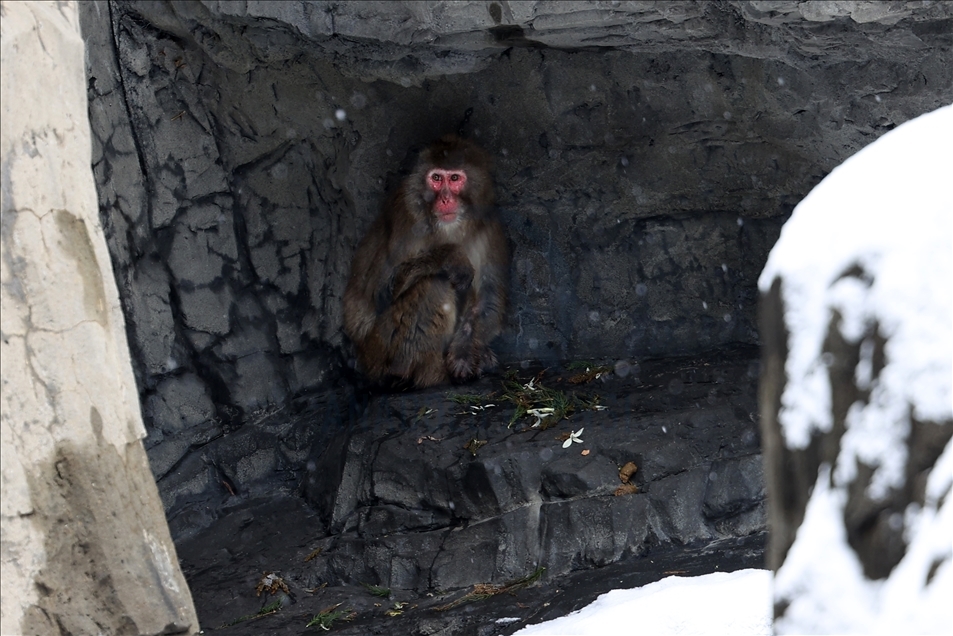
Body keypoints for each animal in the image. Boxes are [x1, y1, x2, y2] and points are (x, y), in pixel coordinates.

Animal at [340, 135, 506, 388]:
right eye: (436, 178)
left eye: (454, 178)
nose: (445, 199)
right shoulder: (407, 215)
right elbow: (379, 291)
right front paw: (451, 257)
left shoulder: (489, 226)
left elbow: (488, 300)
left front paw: (464, 355)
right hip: (378, 352)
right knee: (432, 284)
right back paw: (431, 375)